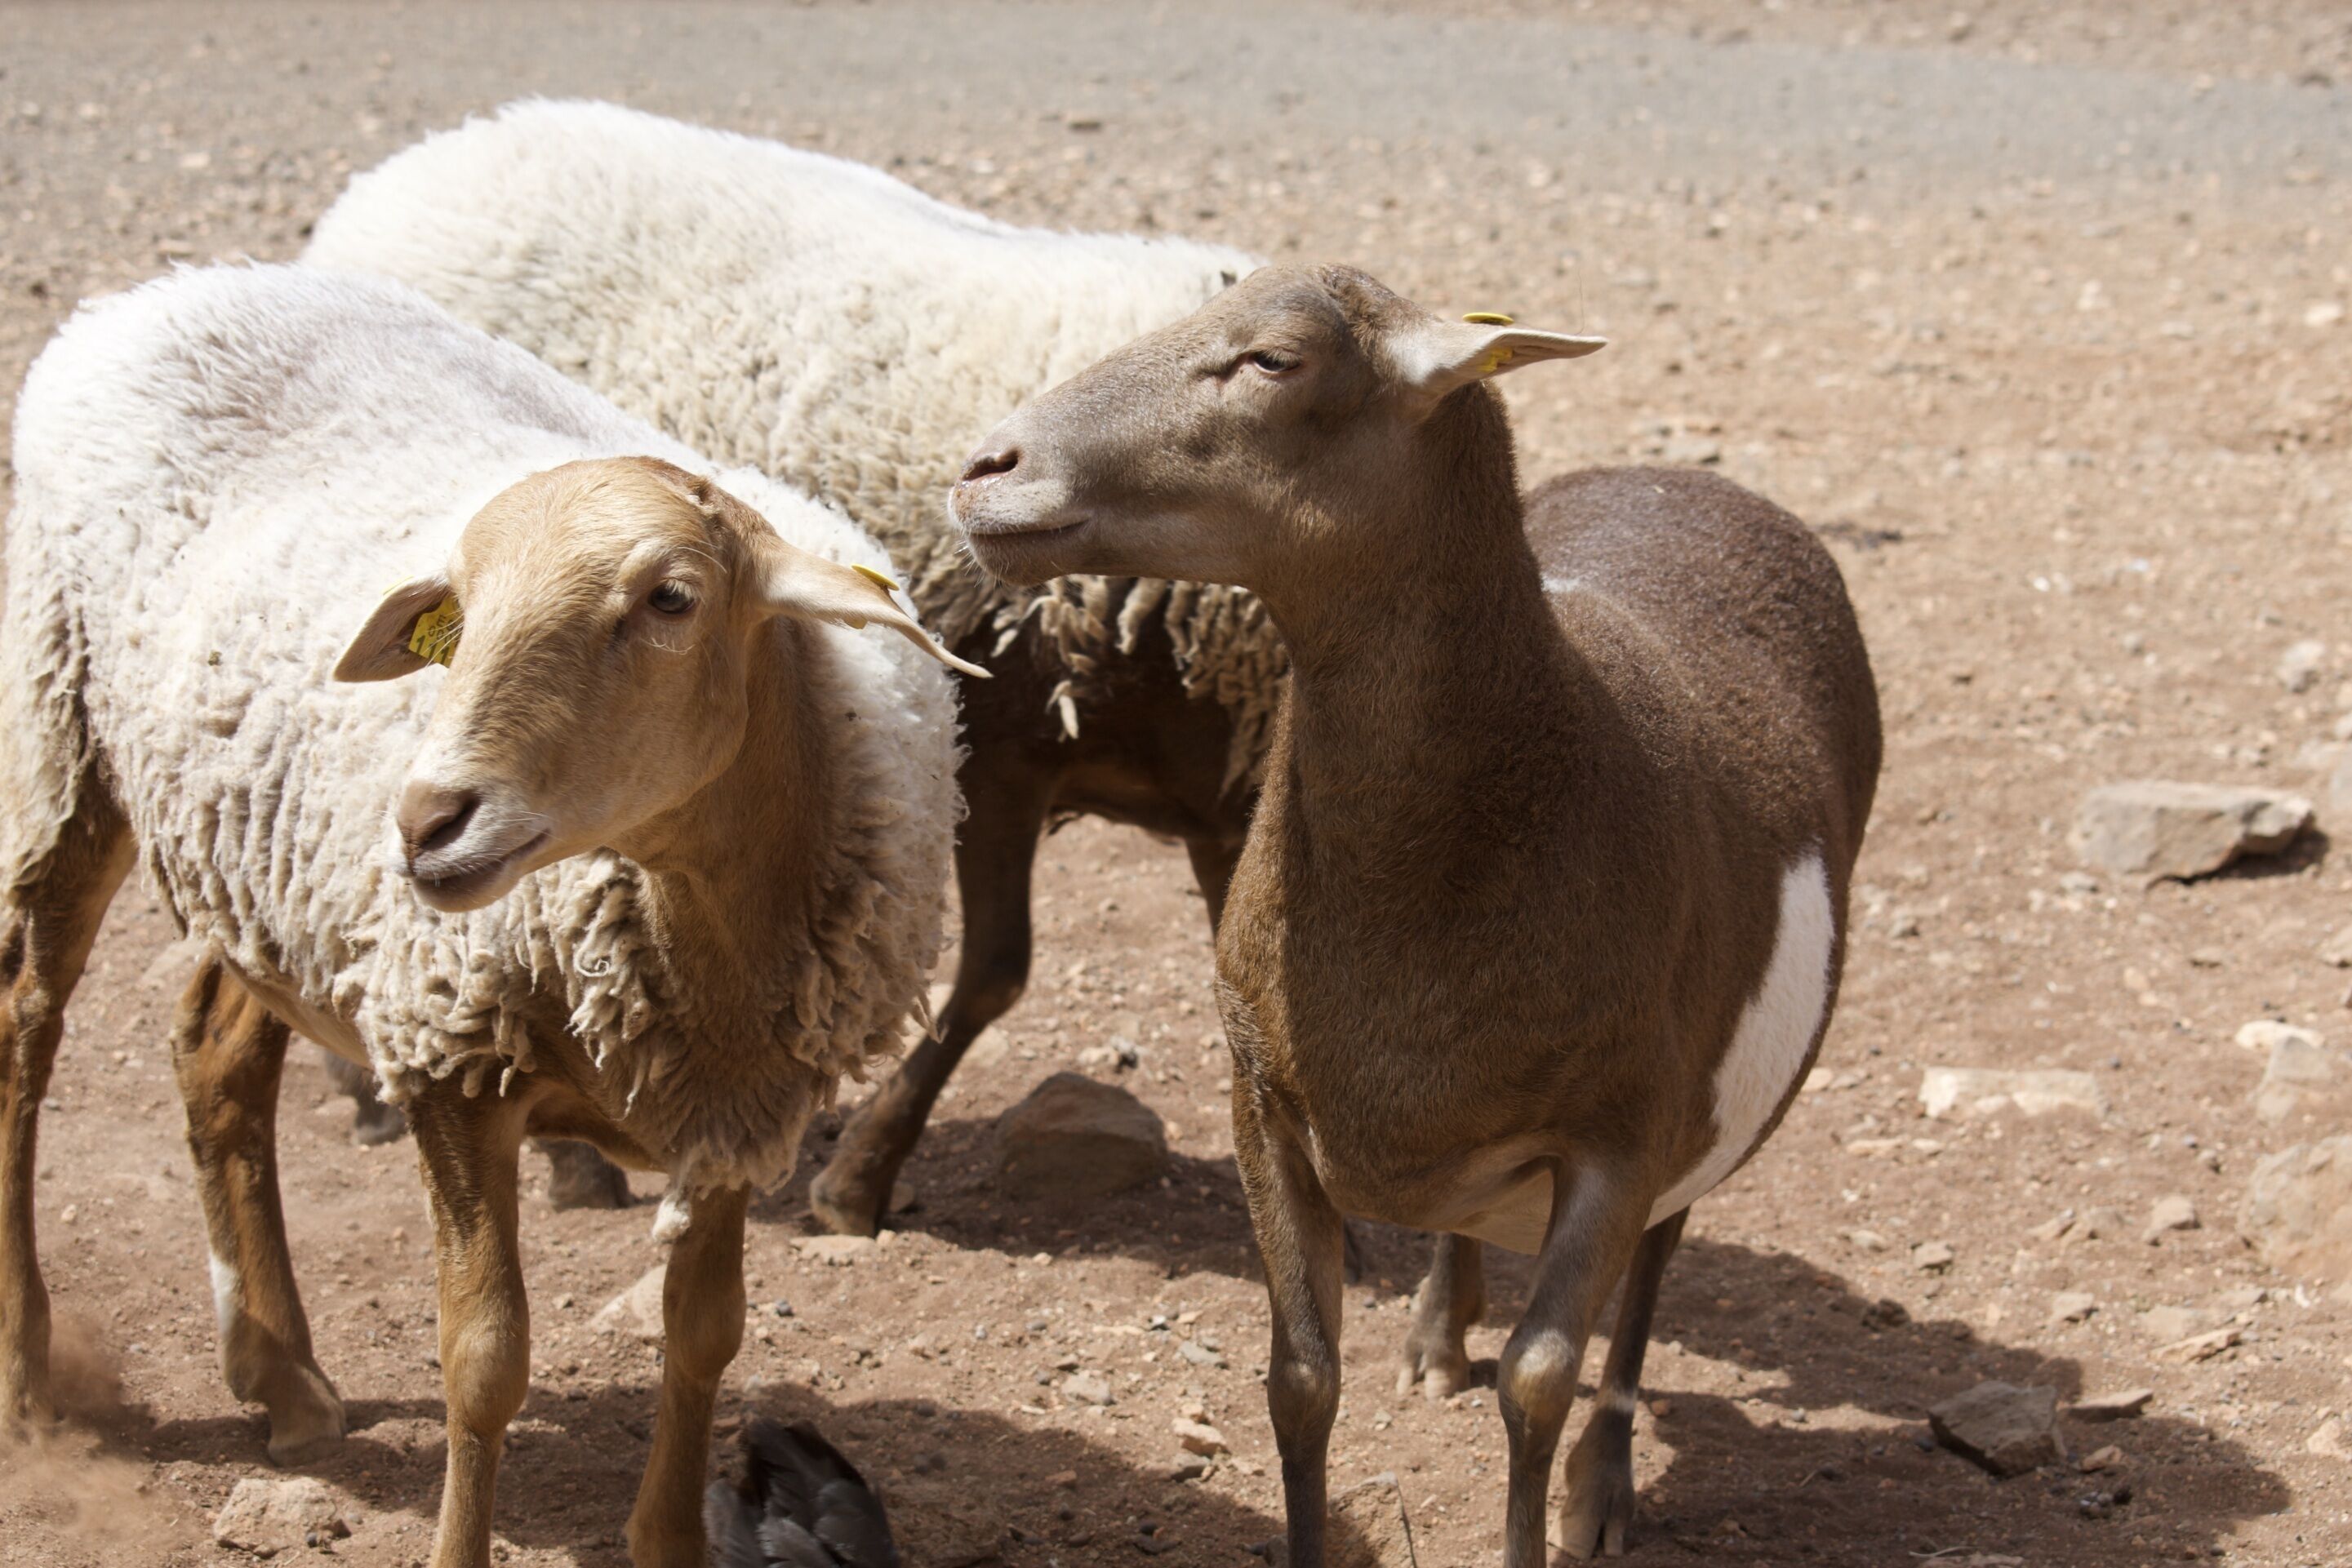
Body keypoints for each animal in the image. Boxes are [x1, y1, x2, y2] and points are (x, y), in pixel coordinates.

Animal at [0, 263, 972, 1568]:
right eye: (452, 617)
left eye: (672, 597)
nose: (424, 821)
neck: (703, 926)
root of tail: (162, 289)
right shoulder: (451, 1056)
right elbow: (483, 1364)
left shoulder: (737, 1108)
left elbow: (703, 1331)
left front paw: (668, 1534)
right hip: (63, 736)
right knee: (25, 1025)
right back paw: (27, 1371)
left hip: (267, 874)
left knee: (213, 1044)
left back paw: (281, 1373)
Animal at [949, 265, 1882, 1566]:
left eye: (1274, 360)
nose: (984, 466)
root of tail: (1700, 482)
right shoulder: (1259, 1096)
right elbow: (1299, 1379)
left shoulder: (1622, 1137)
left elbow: (1540, 1379)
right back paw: (1440, 1332)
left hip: (1713, 1096)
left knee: (1652, 1270)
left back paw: (1604, 1478)